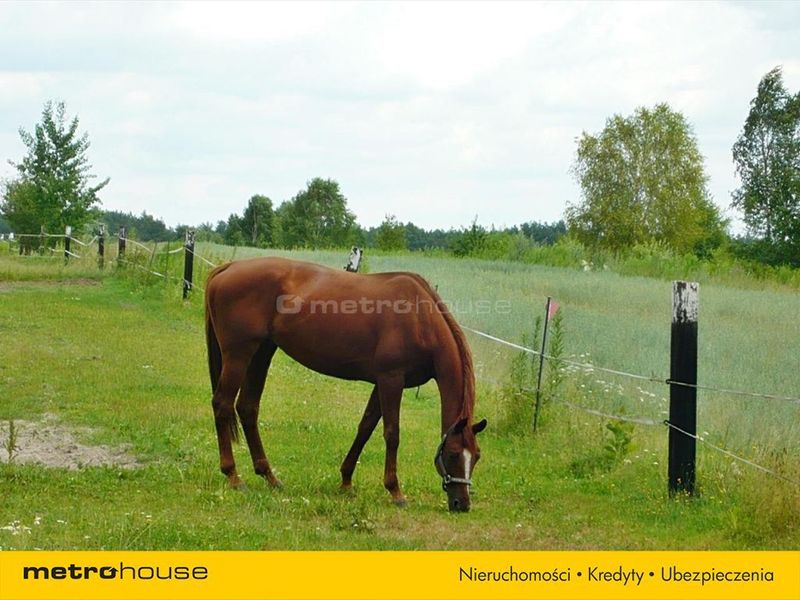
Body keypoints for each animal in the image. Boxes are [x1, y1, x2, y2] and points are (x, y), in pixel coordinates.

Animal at [203, 255, 484, 512]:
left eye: (477, 456)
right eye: (453, 454)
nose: (461, 504)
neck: (419, 318)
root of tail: (228, 267)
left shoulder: (383, 383)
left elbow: (365, 427)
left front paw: (346, 481)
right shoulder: (391, 380)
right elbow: (392, 433)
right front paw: (395, 491)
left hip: (262, 352)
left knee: (248, 408)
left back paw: (269, 476)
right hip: (239, 355)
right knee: (223, 404)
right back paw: (233, 476)